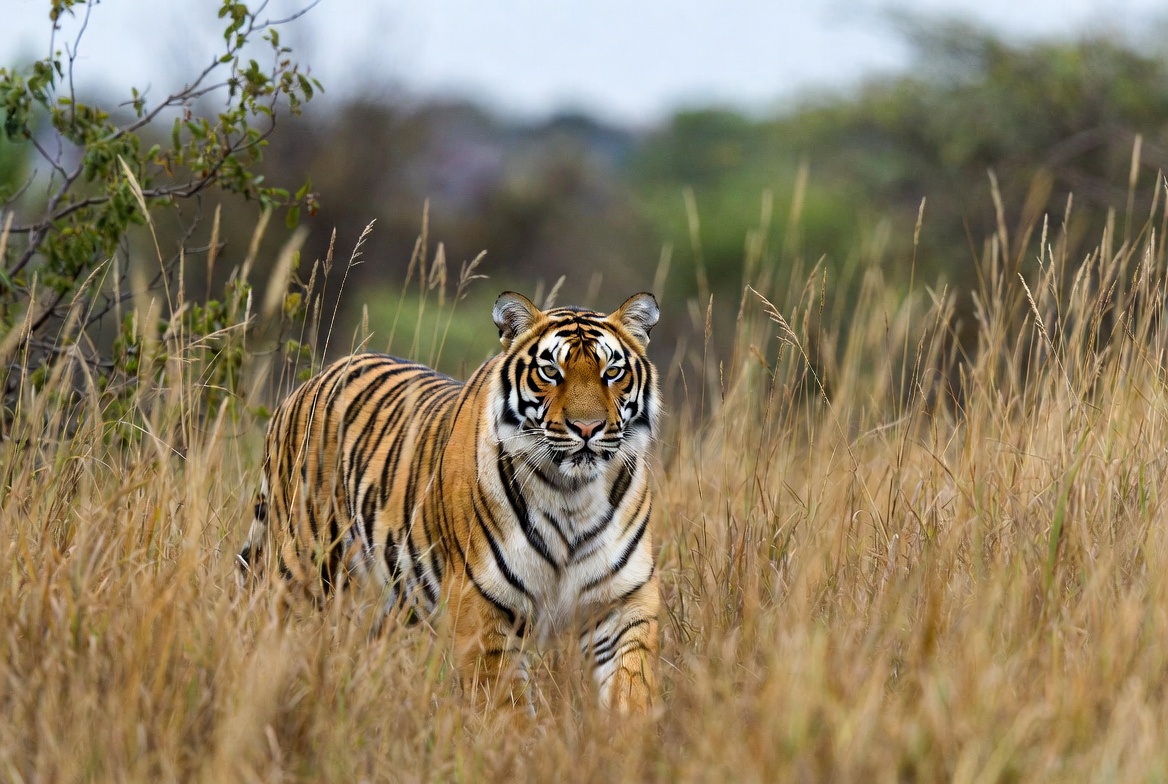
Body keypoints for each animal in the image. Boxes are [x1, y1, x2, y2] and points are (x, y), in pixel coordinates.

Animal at [238, 291, 662, 715]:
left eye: (612, 373)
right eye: (550, 372)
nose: (587, 428)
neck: (572, 494)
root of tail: (303, 387)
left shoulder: (623, 602)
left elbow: (632, 685)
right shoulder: (481, 606)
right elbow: (506, 707)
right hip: (303, 573)